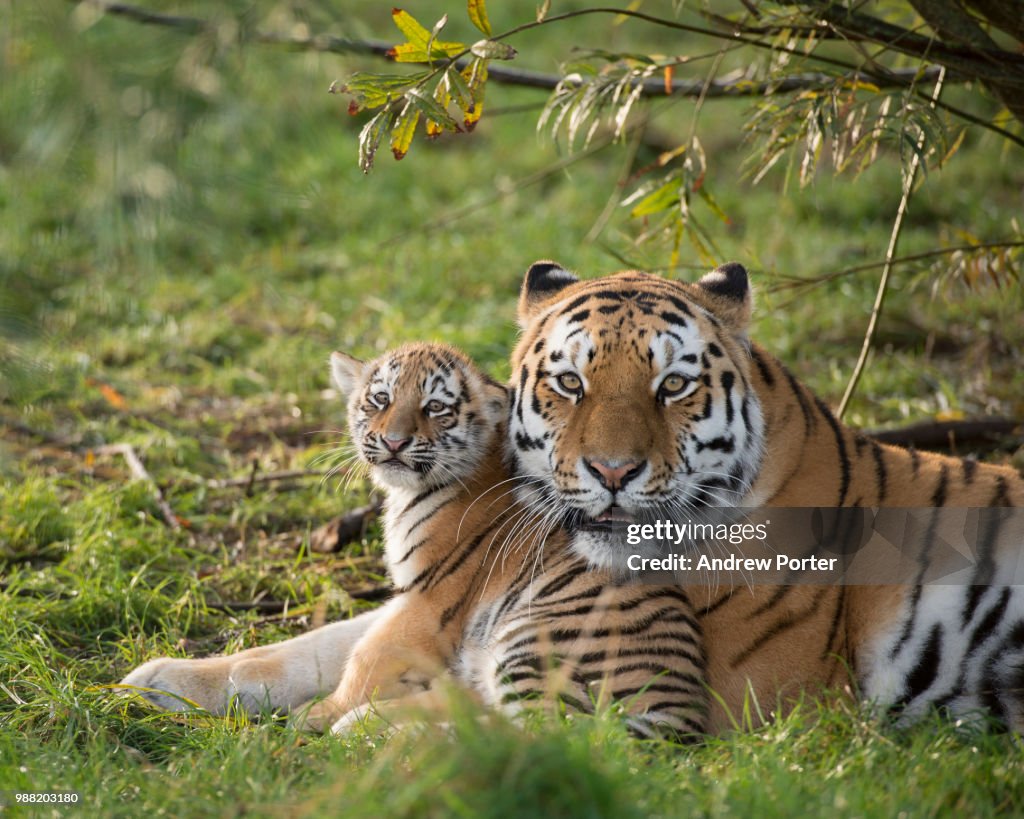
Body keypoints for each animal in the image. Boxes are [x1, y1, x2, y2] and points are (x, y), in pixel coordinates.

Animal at [121, 343, 708, 739]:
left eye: (436, 408)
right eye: (379, 399)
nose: (394, 442)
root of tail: (684, 706)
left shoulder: (429, 604)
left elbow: (363, 661)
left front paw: (318, 714)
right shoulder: (405, 596)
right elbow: (311, 648)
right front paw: (161, 680)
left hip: (536, 635)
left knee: (541, 735)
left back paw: (367, 728)